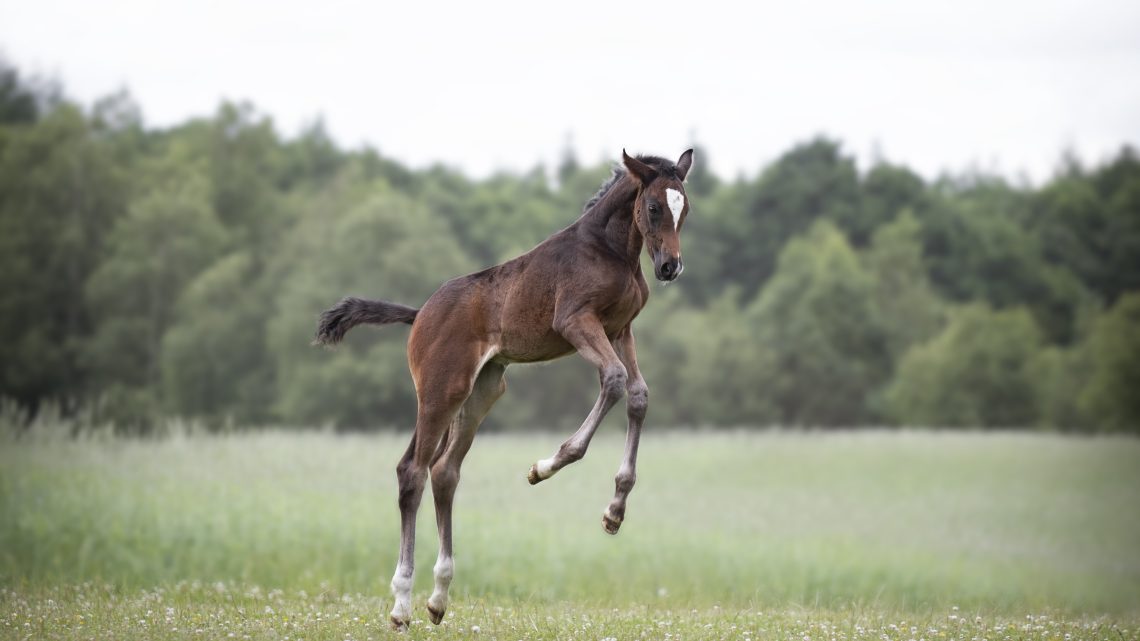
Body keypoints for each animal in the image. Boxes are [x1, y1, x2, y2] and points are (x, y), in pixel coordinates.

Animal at [316, 147, 697, 625]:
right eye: (653, 207)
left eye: (685, 207)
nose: (670, 267)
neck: (610, 250)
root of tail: (420, 314)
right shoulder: (575, 321)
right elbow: (613, 382)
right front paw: (546, 466)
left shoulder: (619, 329)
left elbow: (639, 395)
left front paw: (614, 512)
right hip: (440, 390)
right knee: (412, 472)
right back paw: (402, 603)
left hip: (481, 392)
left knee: (445, 471)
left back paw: (438, 598)